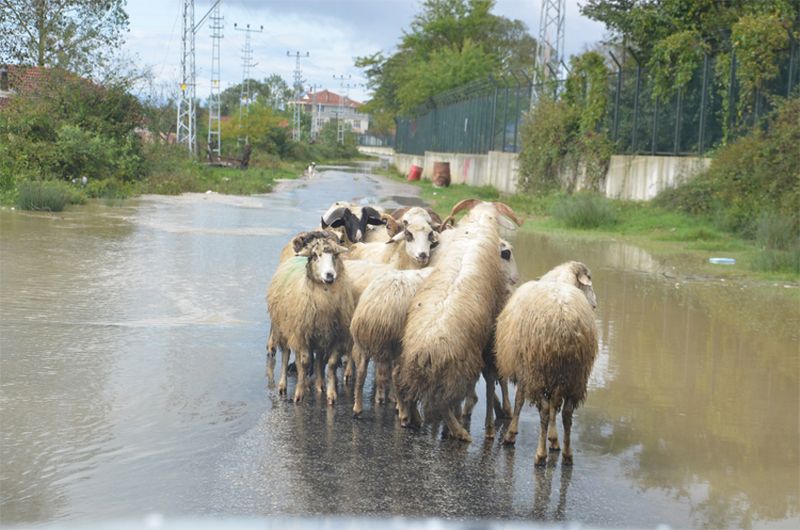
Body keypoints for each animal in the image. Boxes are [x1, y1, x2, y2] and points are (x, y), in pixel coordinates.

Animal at [266, 232, 355, 405]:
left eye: (335, 256)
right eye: (315, 256)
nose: (330, 275)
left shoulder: (336, 336)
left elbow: (330, 364)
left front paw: (331, 395)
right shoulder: (301, 335)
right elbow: (304, 362)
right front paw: (299, 393)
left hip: (319, 335)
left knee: (319, 359)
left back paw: (320, 385)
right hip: (284, 329)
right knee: (286, 356)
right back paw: (282, 386)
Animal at [395, 200, 521, 442]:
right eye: (507, 253)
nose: (516, 278)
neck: (477, 226)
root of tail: (427, 349)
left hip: (415, 368)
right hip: (459, 371)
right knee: (445, 403)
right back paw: (460, 432)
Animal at [495, 261, 598, 466]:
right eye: (589, 282)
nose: (595, 304)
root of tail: (564, 323)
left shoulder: (524, 369)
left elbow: (520, 401)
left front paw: (511, 434)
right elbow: (552, 408)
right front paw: (554, 439)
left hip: (539, 371)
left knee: (543, 410)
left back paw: (540, 454)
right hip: (574, 375)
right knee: (566, 413)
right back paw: (567, 454)